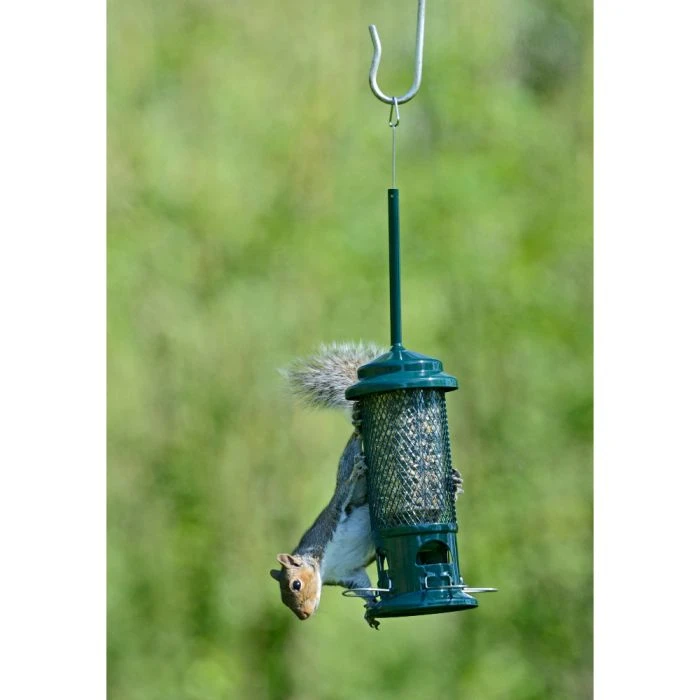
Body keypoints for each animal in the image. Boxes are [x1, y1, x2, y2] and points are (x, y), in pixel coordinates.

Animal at [269, 342, 464, 629]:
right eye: (284, 599)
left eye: (296, 584)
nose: (304, 616)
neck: (324, 563)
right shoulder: (349, 574)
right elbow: (364, 588)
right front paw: (371, 609)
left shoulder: (334, 519)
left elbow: (345, 495)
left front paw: (353, 477)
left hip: (354, 466)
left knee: (354, 454)